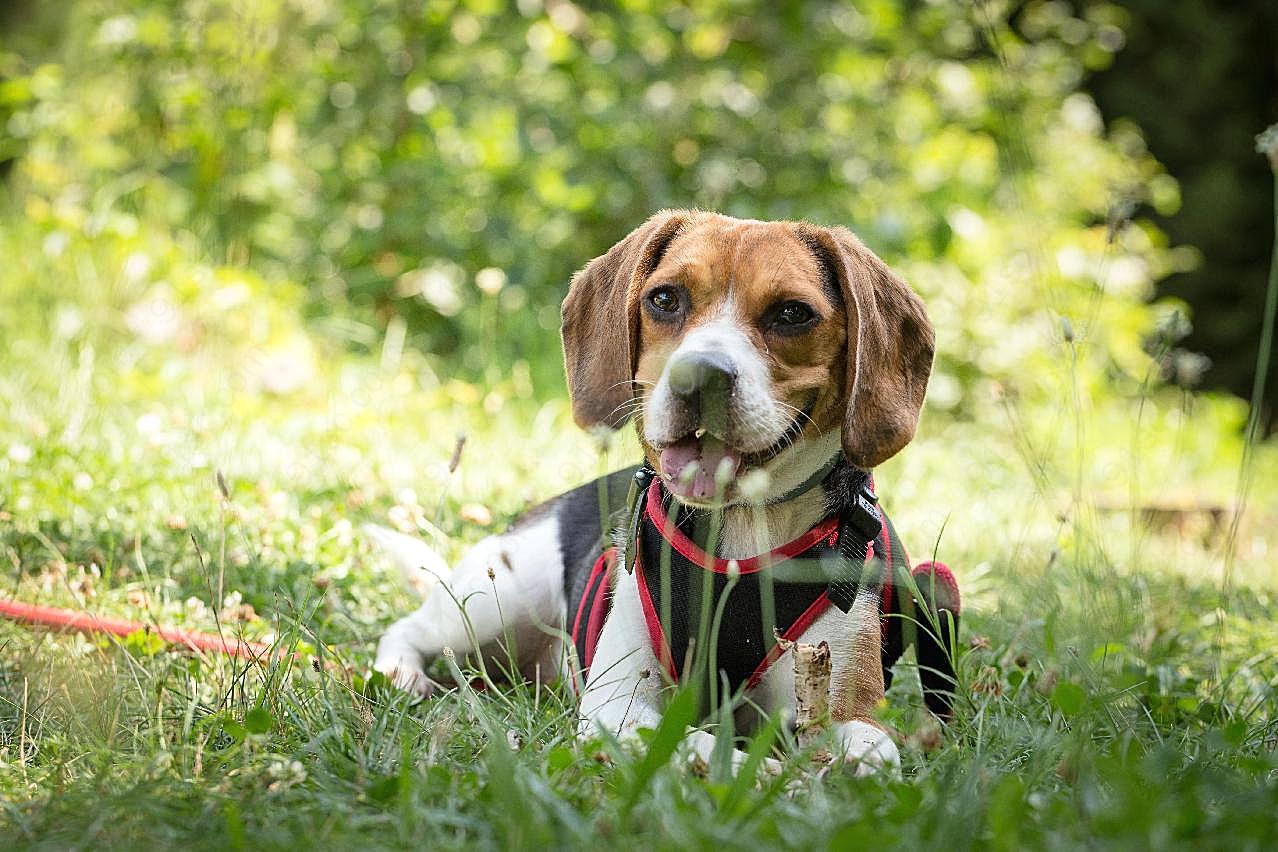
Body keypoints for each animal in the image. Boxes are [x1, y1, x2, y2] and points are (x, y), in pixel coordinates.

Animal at [373, 212, 955, 771]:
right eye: (665, 299)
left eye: (792, 313)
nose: (700, 375)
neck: (741, 527)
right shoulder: (619, 705)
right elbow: (690, 740)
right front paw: (753, 770)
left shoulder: (845, 701)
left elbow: (872, 750)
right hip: (489, 603)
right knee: (410, 629)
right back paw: (402, 673)